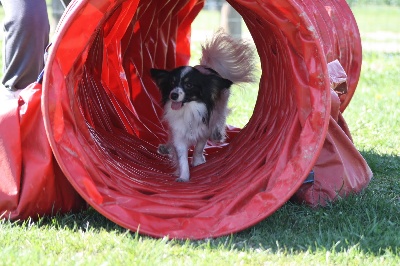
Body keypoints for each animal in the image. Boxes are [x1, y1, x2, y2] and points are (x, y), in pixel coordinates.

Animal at [150, 29, 256, 183]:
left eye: (189, 85)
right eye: (171, 83)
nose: (173, 95)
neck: (188, 109)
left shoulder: (203, 130)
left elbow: (199, 147)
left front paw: (198, 162)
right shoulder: (179, 134)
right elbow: (181, 157)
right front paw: (184, 176)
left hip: (221, 106)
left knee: (220, 118)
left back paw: (217, 134)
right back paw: (167, 148)